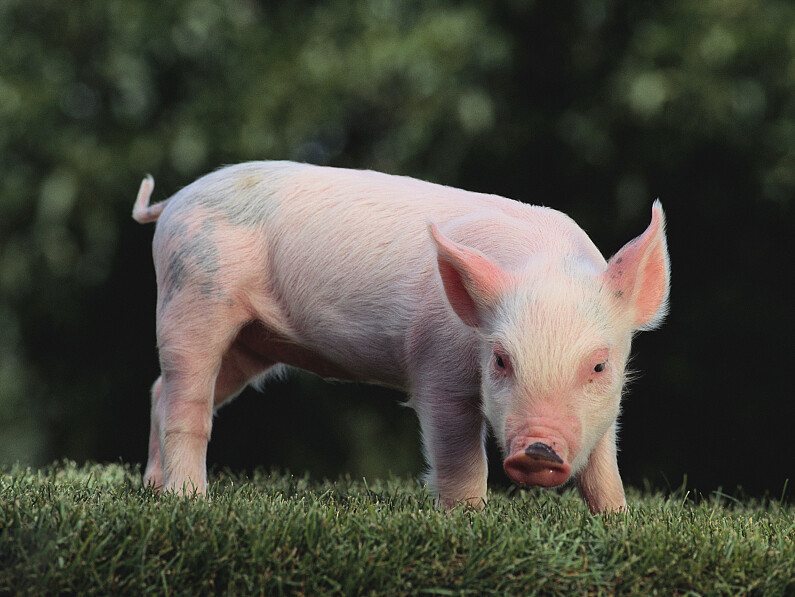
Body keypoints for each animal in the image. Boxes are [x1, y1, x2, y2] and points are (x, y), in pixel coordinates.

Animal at [132, 161, 670, 513]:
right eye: (500, 359)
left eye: (599, 365)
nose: (537, 449)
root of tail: (174, 201)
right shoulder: (437, 370)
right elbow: (461, 460)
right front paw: (469, 522)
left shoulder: (607, 408)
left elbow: (604, 466)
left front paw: (619, 522)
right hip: (192, 292)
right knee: (185, 399)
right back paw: (189, 501)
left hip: (250, 341)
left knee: (162, 390)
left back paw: (154, 489)